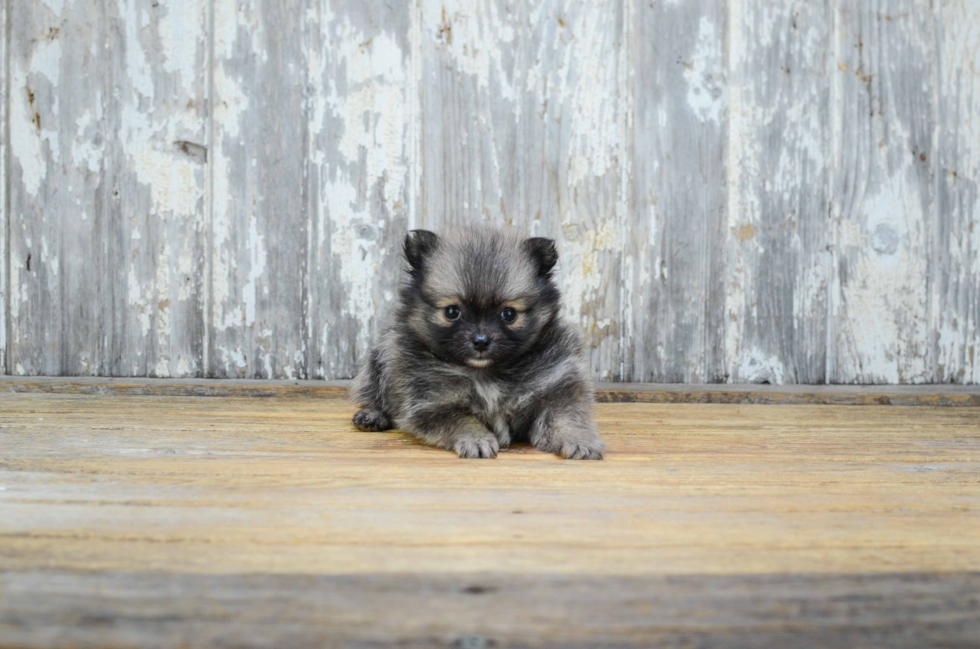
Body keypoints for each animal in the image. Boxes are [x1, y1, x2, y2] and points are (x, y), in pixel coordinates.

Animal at [348, 228, 600, 460]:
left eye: (509, 314)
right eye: (452, 312)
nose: (480, 341)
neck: (485, 374)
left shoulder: (557, 388)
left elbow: (565, 418)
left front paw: (579, 440)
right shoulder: (431, 402)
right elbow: (461, 419)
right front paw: (476, 439)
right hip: (381, 356)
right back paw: (372, 415)